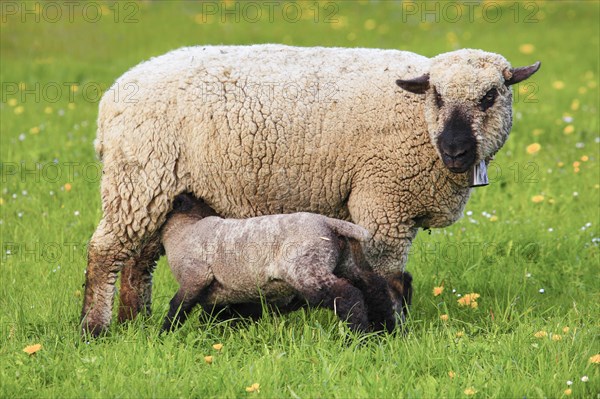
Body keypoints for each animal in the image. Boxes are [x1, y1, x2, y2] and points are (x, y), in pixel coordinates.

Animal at [162, 194, 400, 334]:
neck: (182, 231)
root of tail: (329, 223)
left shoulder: (195, 276)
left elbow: (177, 307)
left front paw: (164, 335)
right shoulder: (219, 296)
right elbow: (210, 317)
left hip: (306, 269)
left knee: (347, 295)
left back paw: (358, 337)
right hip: (344, 263)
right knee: (374, 287)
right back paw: (385, 330)